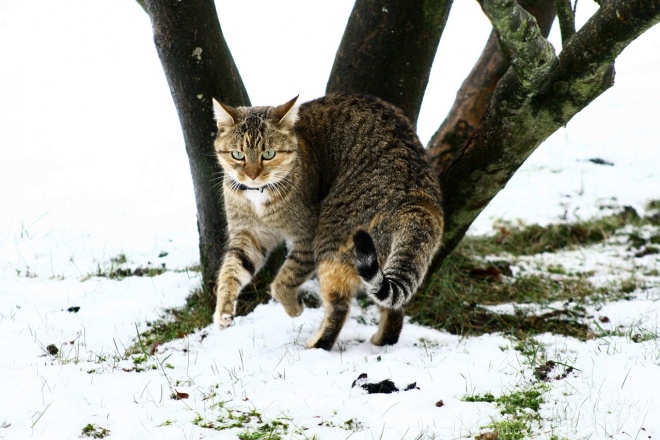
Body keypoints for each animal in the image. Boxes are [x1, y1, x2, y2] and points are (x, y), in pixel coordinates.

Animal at [211, 93, 444, 350]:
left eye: (268, 154)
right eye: (238, 155)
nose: (252, 175)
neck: (258, 197)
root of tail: (418, 198)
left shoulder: (306, 236)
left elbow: (283, 280)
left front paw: (294, 309)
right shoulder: (248, 235)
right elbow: (232, 270)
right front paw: (223, 311)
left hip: (331, 238)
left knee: (340, 306)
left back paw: (316, 346)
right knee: (393, 308)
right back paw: (383, 342)